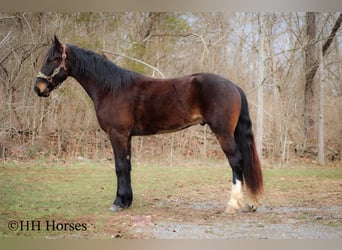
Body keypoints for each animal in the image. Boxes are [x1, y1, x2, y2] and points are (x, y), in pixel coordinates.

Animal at [34, 36, 264, 214]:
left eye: (53, 59)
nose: (39, 87)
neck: (111, 88)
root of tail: (233, 86)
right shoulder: (126, 136)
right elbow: (127, 167)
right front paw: (126, 201)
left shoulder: (117, 134)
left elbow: (119, 167)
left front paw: (118, 203)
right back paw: (250, 204)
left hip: (223, 133)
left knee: (236, 161)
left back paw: (232, 205)